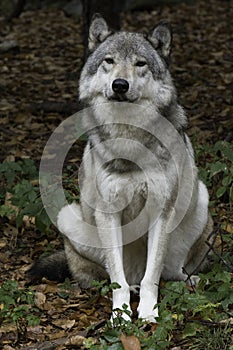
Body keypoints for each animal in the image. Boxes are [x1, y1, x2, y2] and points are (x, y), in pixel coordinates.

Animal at [29, 14, 213, 322]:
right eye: (109, 61)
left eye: (140, 63)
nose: (120, 85)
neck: (129, 138)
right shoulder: (108, 212)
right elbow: (118, 280)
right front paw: (121, 316)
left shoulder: (161, 210)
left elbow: (153, 276)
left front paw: (149, 314)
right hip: (70, 217)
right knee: (105, 276)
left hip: (199, 199)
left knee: (170, 272)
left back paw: (189, 281)